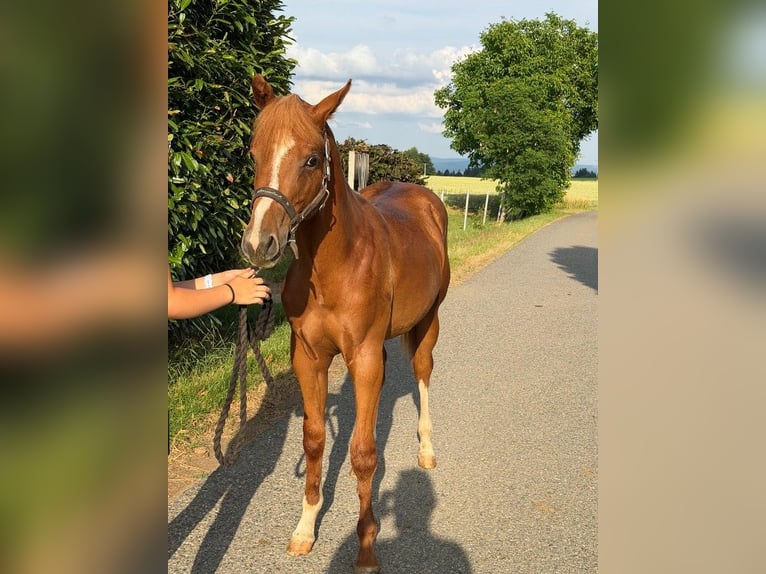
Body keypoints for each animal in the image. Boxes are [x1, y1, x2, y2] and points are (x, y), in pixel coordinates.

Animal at [241, 75, 450, 573]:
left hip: (428, 322)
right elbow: (315, 440)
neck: (335, 267)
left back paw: (426, 449)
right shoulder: (309, 358)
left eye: (312, 159)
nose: (259, 244)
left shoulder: (365, 358)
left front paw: (367, 547)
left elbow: (362, 452)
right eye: (254, 154)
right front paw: (304, 528)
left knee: (422, 373)